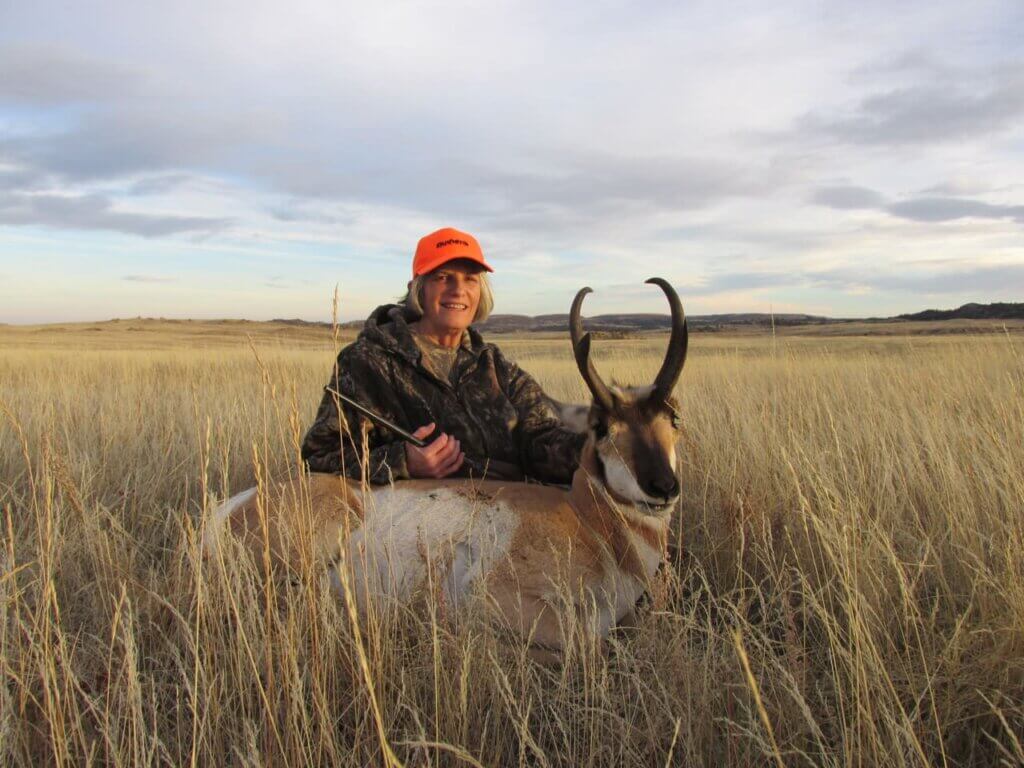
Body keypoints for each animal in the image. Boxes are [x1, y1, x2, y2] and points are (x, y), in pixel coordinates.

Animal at [204, 278, 688, 654]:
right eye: (602, 427)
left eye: (674, 419)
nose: (662, 486)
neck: (588, 520)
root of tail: (223, 511)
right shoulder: (496, 599)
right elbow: (584, 642)